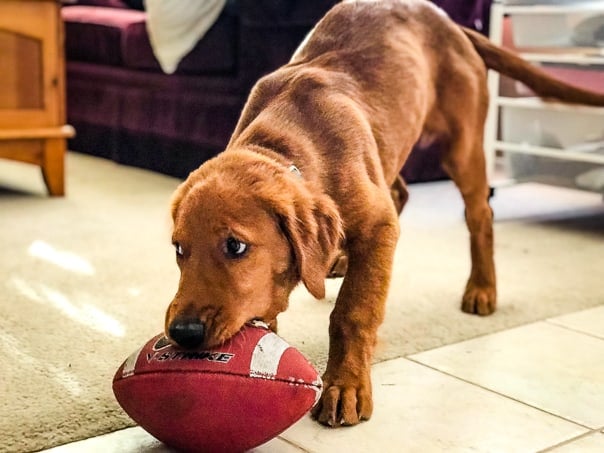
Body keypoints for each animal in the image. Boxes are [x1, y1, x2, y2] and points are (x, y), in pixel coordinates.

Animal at [163, 0, 604, 428]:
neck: (285, 139)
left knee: (481, 216)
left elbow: (354, 310)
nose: (182, 333)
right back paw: (340, 260)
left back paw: (481, 288)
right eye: (179, 250)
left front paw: (345, 386)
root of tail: (450, 23)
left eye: (236, 246)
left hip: (462, 148)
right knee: (400, 191)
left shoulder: (377, 224)